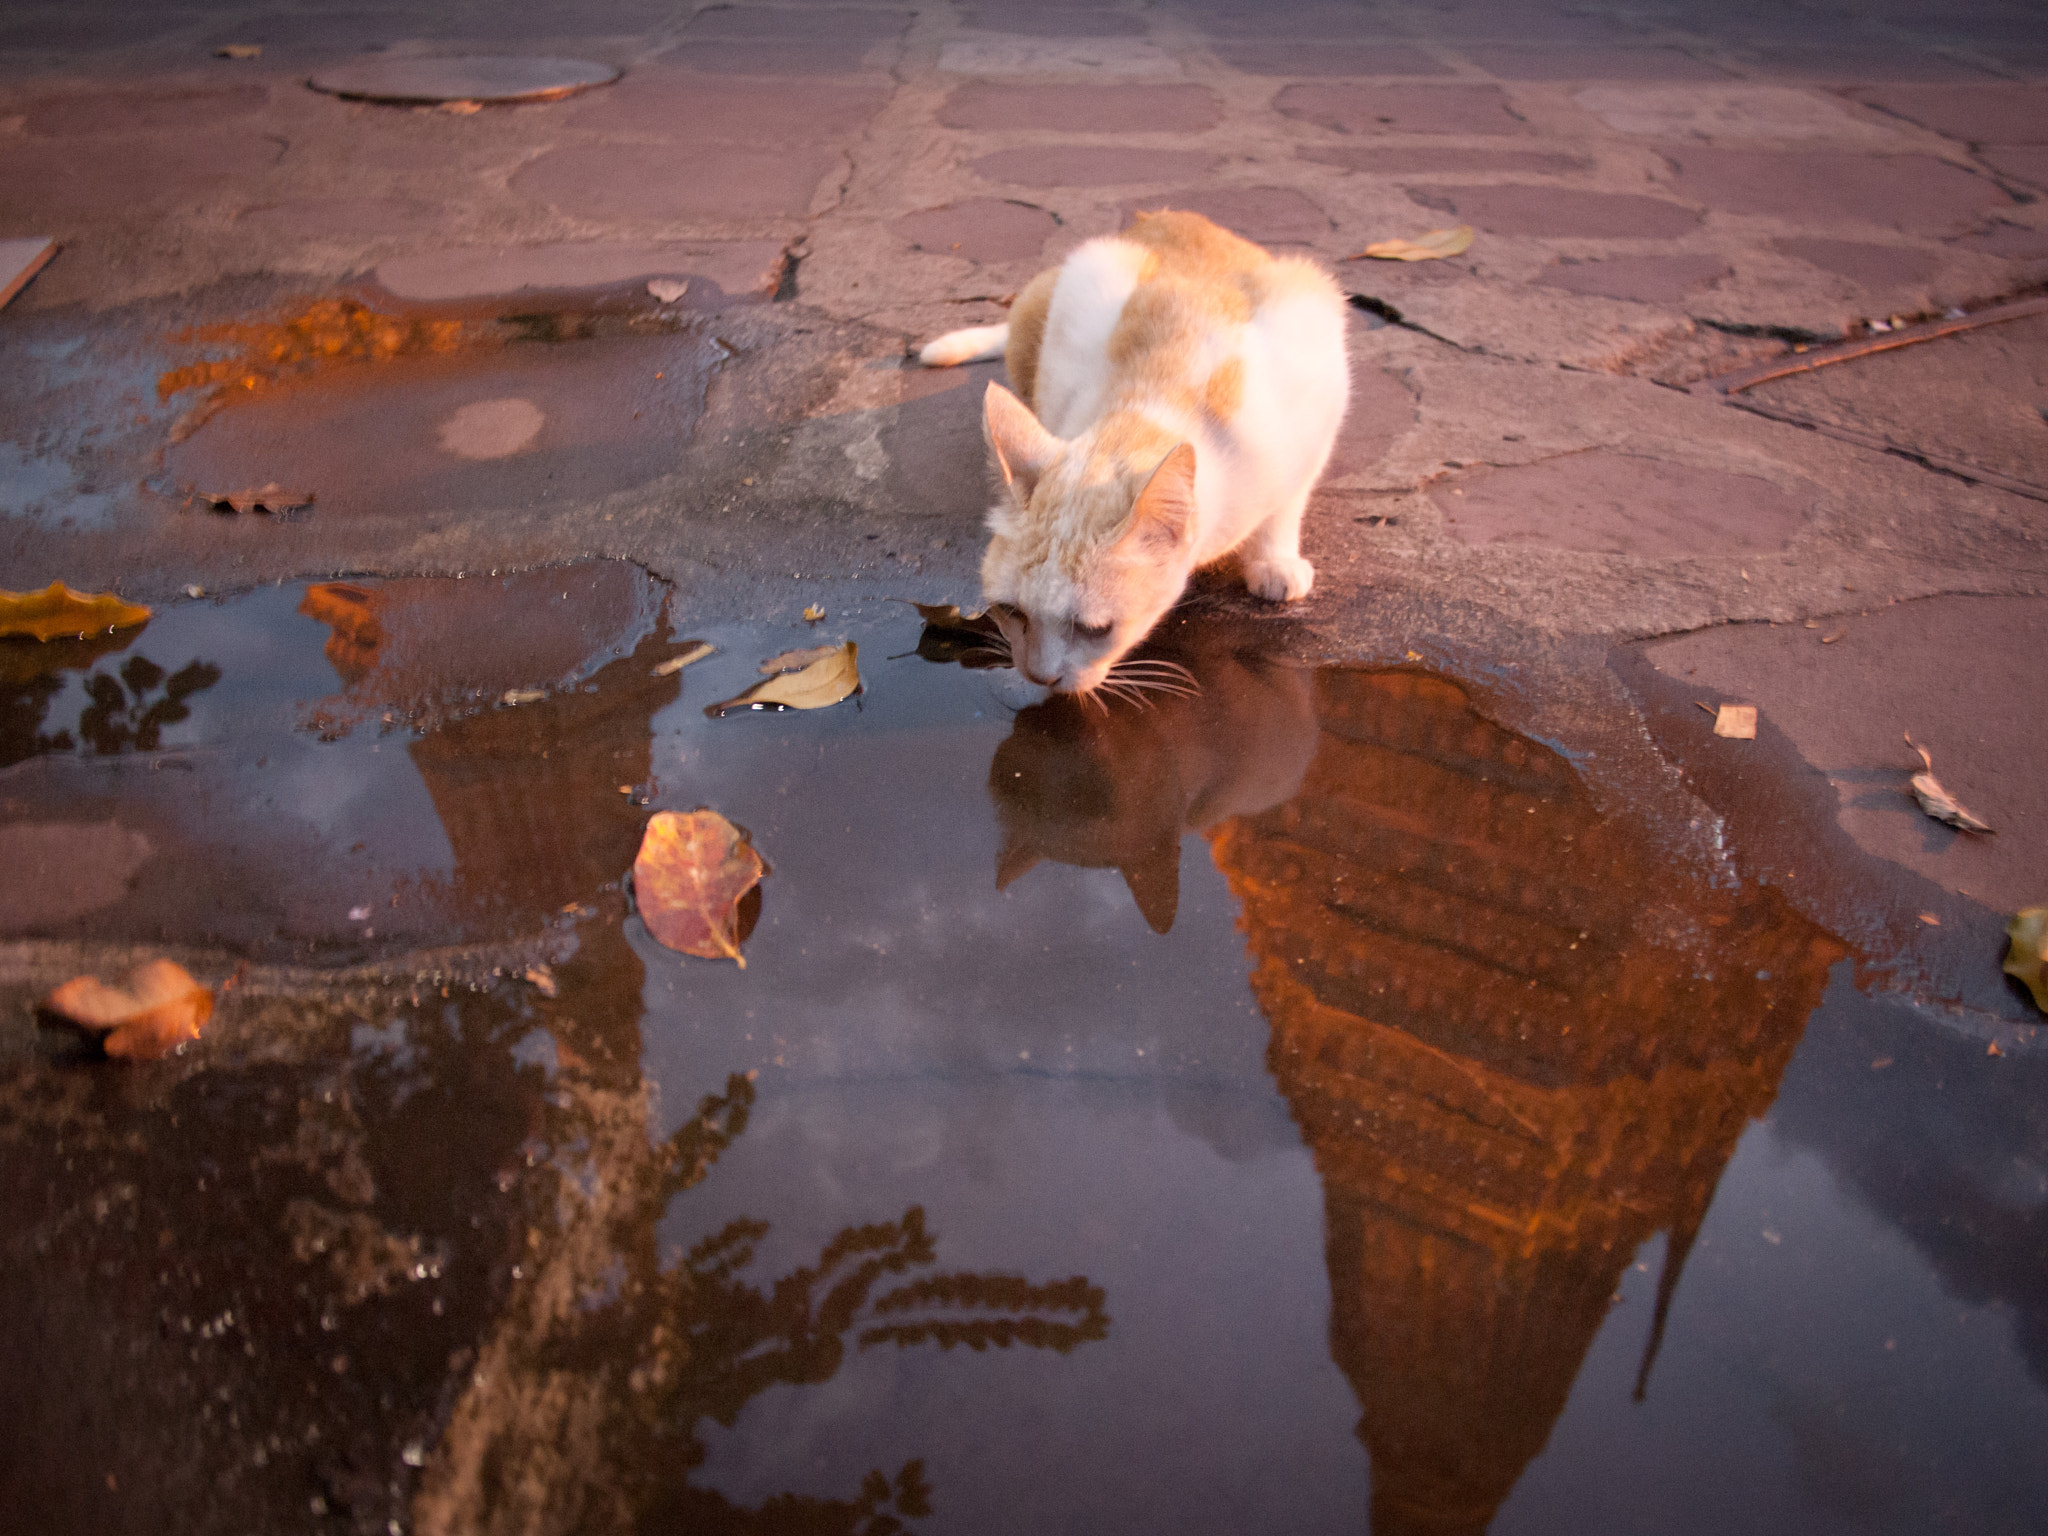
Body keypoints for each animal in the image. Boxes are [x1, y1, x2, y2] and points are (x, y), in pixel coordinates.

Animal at [921, 210, 1351, 696]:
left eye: (1095, 629)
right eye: (1011, 611)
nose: (1040, 676)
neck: (1153, 393)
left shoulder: (1315, 409)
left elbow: (1286, 508)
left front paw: (1273, 562)